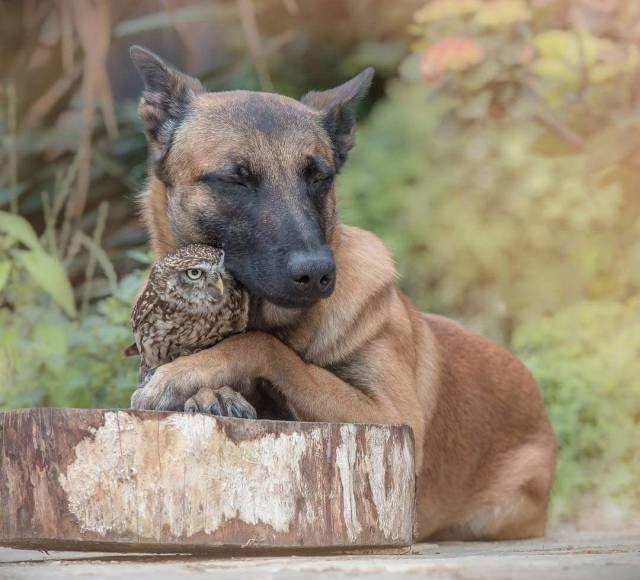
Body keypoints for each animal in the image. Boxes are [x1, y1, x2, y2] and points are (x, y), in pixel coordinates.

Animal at [127, 47, 552, 540]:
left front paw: (189, 374)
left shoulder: (391, 417)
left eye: (319, 177)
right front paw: (209, 393)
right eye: (235, 179)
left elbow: (266, 347)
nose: (316, 273)